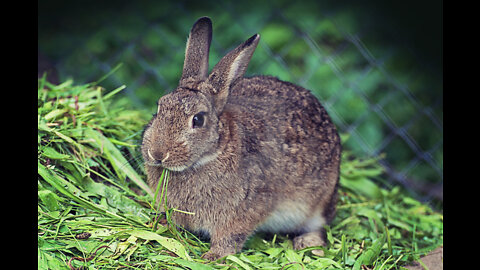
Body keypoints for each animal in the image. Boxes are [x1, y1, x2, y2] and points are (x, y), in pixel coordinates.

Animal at [142, 16, 342, 262]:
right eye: (159, 107)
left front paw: (213, 257)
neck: (213, 152)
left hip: (317, 202)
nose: (157, 154)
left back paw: (307, 244)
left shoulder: (241, 214)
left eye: (198, 120)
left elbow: (230, 237)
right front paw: (158, 225)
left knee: (319, 227)